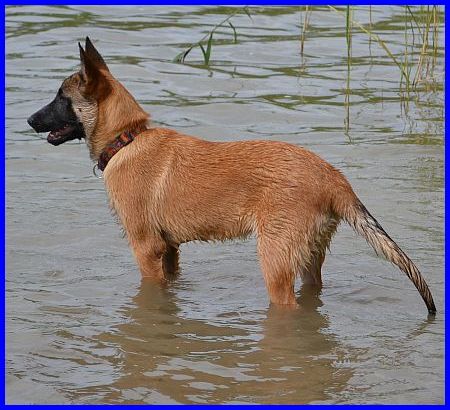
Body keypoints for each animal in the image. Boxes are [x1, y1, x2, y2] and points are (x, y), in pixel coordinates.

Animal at [27, 37, 436, 314]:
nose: (30, 120)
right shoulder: (170, 251)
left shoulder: (146, 248)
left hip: (275, 262)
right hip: (309, 260)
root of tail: (333, 178)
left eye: (61, 97)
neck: (127, 138)